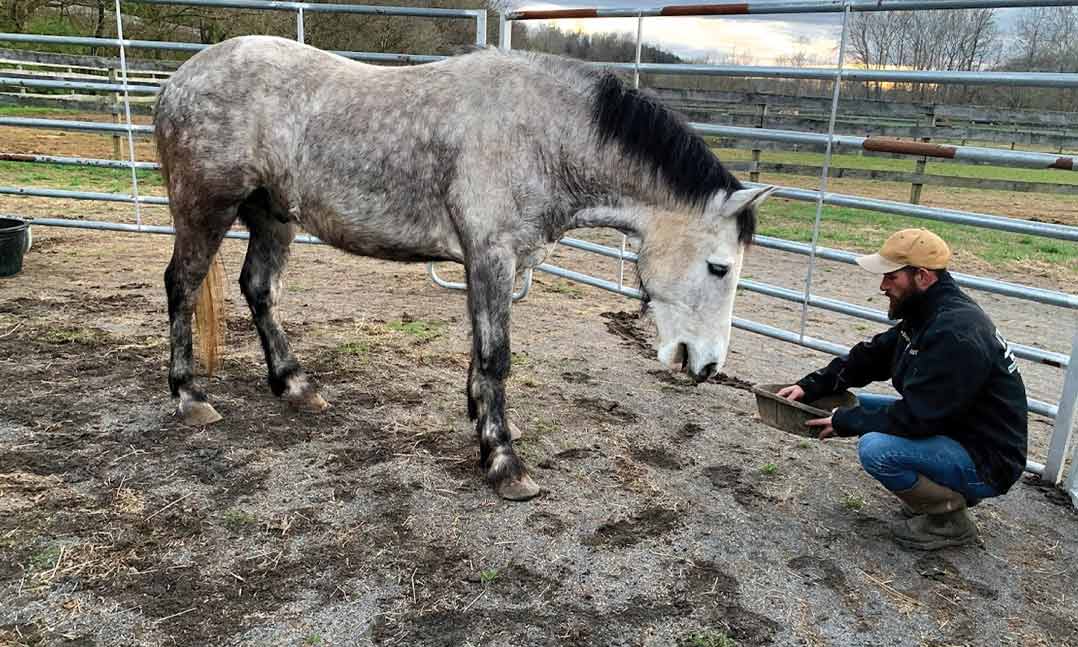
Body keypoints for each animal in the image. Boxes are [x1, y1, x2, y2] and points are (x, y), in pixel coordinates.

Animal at [154, 34, 776, 500]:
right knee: (181, 286)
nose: (707, 365)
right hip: (205, 210)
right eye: (719, 268)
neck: (540, 134)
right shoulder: (491, 256)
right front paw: (504, 462)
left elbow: (481, 353)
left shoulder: (493, 263)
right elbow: (497, 356)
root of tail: (179, 79)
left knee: (259, 289)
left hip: (272, 215)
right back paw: (190, 397)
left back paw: (294, 385)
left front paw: (485, 422)